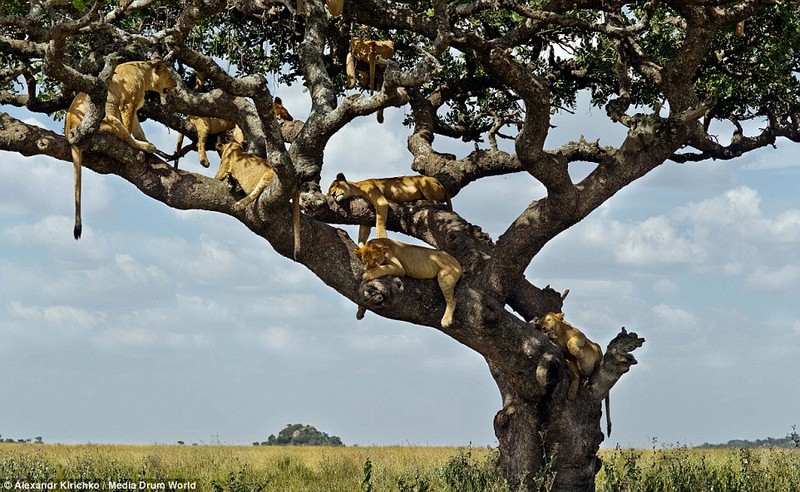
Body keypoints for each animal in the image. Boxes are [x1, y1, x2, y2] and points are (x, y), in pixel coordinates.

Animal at [65, 59, 175, 240]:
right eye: (169, 75)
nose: (175, 84)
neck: (145, 74)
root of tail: (69, 132)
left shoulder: (135, 108)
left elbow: (139, 130)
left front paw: (145, 139)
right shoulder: (128, 104)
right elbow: (129, 129)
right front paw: (144, 143)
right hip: (110, 116)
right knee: (124, 136)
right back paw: (147, 147)